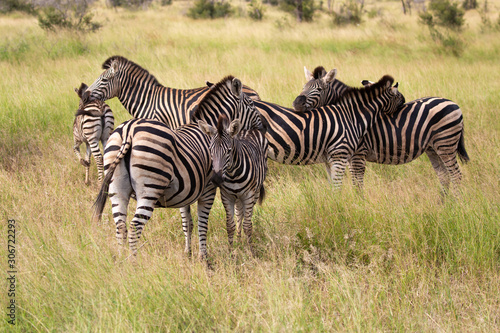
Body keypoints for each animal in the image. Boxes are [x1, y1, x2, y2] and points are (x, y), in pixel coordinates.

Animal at [199, 114, 270, 246]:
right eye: (210, 150)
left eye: (229, 150)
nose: (216, 179)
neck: (233, 175)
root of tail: (249, 129)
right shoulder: (227, 196)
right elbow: (230, 225)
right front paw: (231, 249)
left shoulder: (248, 195)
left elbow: (248, 226)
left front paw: (251, 249)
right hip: (237, 197)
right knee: (239, 214)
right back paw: (238, 239)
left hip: (255, 193)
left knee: (247, 215)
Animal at [254, 76, 402, 189]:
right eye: (399, 97)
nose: (405, 103)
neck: (351, 116)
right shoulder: (340, 154)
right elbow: (338, 187)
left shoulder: (329, 158)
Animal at [292, 66, 468, 191]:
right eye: (303, 86)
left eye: (319, 89)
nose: (296, 103)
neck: (349, 113)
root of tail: (454, 104)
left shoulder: (358, 154)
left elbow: (357, 184)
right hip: (433, 148)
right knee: (444, 176)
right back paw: (442, 204)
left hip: (446, 143)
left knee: (456, 175)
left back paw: (455, 205)